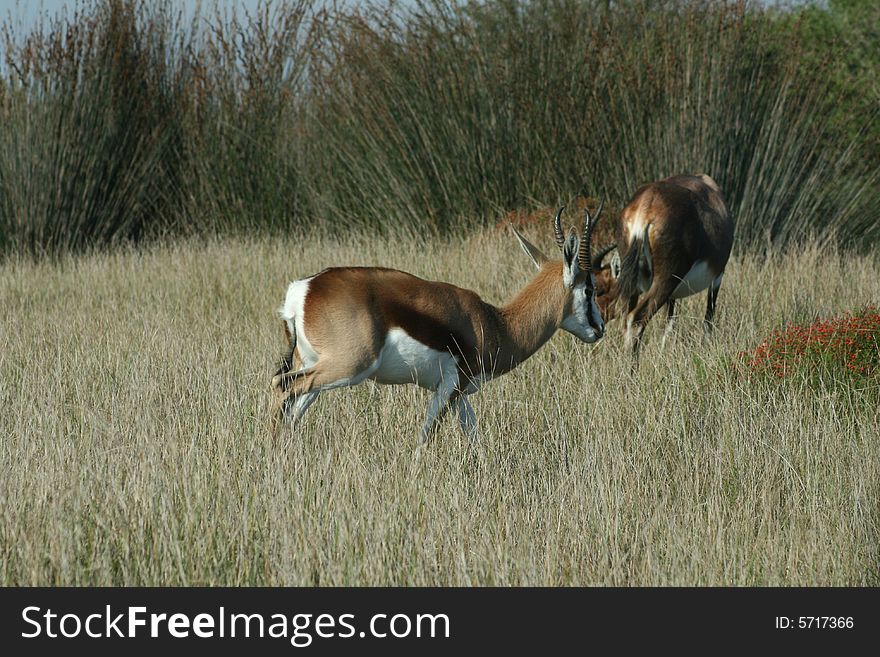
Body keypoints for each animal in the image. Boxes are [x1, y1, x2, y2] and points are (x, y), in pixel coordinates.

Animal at [268, 208, 604, 444]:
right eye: (590, 288)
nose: (599, 329)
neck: (495, 323)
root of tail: (304, 289)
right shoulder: (451, 385)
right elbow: (425, 436)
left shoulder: (462, 394)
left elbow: (474, 438)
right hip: (349, 367)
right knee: (281, 386)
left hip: (315, 366)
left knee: (292, 411)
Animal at [596, 172, 732, 358]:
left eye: (598, 288)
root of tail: (646, 204)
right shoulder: (717, 277)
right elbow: (707, 318)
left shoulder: (673, 295)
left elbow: (669, 325)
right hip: (666, 280)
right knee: (636, 318)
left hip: (636, 282)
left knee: (626, 316)